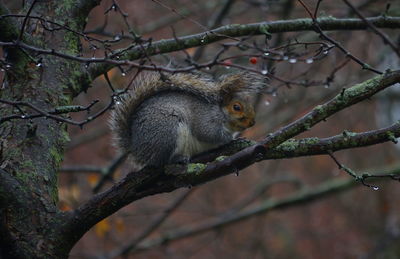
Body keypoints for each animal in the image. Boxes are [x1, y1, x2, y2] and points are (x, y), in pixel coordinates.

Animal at [110, 71, 266, 169]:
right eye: (236, 107)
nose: (252, 122)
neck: (221, 112)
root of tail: (135, 147)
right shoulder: (205, 118)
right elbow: (208, 133)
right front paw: (231, 139)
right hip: (167, 133)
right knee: (161, 161)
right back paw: (177, 159)